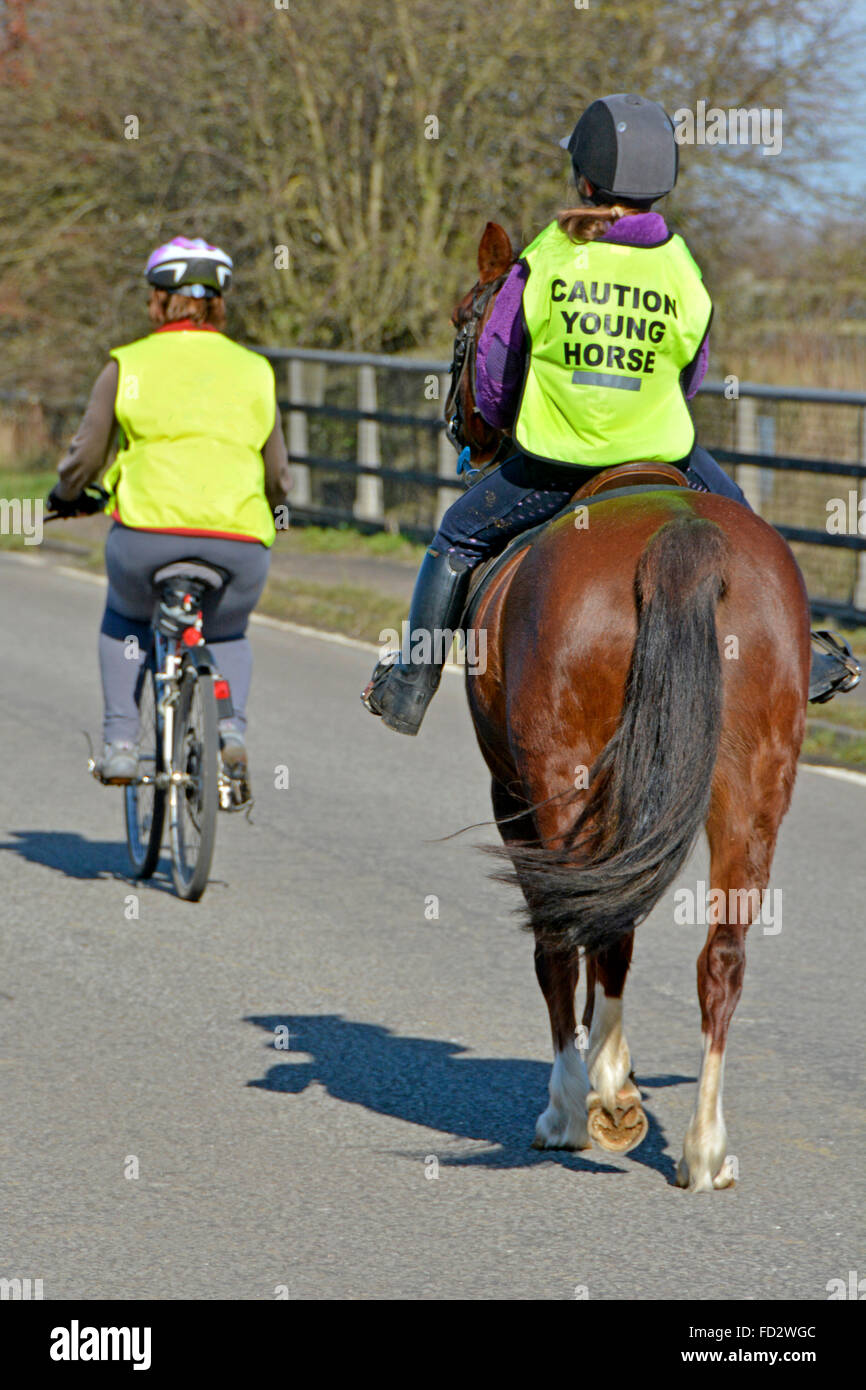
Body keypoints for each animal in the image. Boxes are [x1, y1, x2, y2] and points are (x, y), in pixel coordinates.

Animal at [450, 222, 811, 1189]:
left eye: (470, 322)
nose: (463, 425)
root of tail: (679, 542)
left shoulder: (515, 793)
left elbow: (555, 944)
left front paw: (569, 1105)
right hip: (754, 791)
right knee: (721, 955)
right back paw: (703, 1148)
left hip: (563, 780)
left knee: (594, 928)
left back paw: (604, 1103)